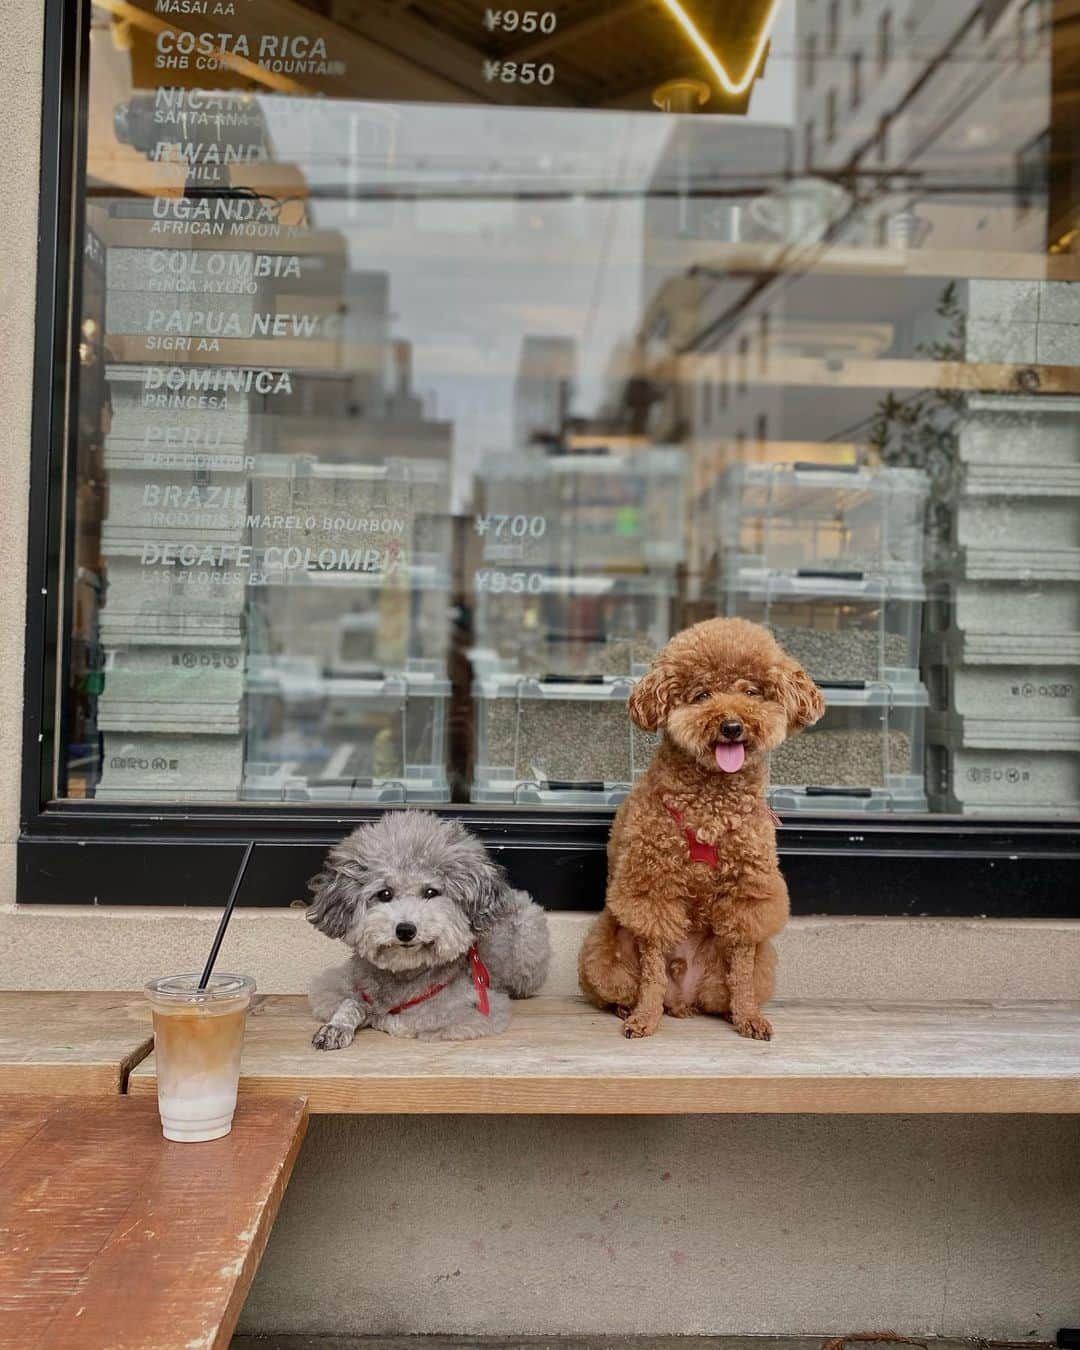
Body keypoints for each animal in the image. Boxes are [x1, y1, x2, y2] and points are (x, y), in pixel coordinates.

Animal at [577, 615, 820, 1042]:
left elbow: (741, 971)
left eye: (751, 691)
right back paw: (630, 1006)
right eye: (702, 694)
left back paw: (724, 1010)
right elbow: (652, 970)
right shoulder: (654, 886)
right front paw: (644, 1018)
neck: (711, 804)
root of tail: (683, 999)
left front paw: (748, 1017)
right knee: (629, 985)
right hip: (604, 953)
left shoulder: (745, 893)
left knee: (732, 984)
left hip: (758, 962)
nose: (732, 726)